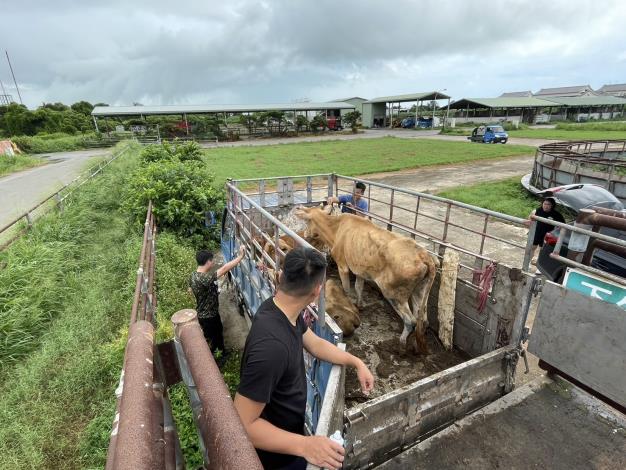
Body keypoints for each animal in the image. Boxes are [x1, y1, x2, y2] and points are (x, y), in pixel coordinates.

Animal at [294, 206, 436, 352]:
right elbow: (358, 287)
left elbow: (347, 288)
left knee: (410, 321)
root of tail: (423, 255)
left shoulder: (342, 266)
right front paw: (359, 304)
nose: (305, 234)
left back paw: (401, 344)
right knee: (423, 321)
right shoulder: (359, 270)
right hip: (420, 291)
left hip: (393, 294)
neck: (335, 230)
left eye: (307, 221)